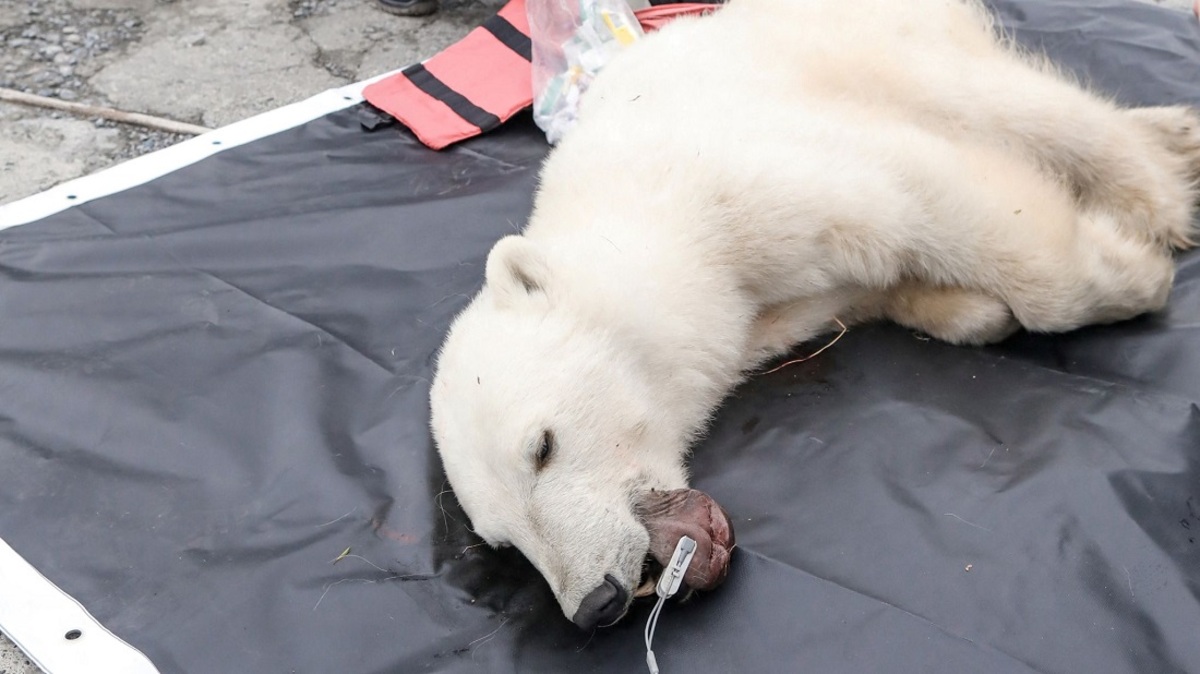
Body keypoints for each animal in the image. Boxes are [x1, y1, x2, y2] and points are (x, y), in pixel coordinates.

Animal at [432, 0, 1200, 628]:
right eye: (501, 541)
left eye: (542, 446)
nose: (595, 603)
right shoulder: (768, 307)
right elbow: (889, 282)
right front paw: (970, 306)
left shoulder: (744, 182)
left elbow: (921, 192)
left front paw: (1135, 273)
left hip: (877, 44)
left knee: (1010, 104)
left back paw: (1157, 194)